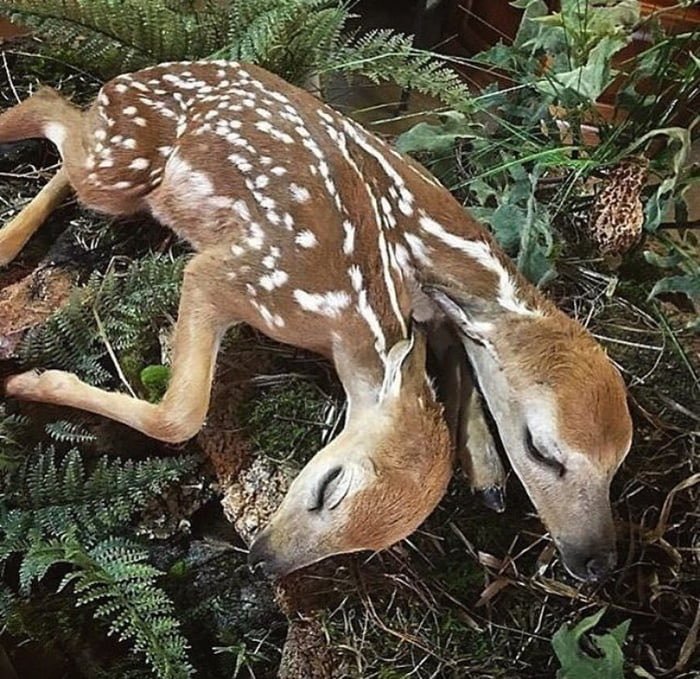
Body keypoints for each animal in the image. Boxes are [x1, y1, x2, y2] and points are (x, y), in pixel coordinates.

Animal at [0, 60, 633, 582]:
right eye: (542, 450)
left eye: (618, 463)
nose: (598, 563)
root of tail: (133, 78)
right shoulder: (232, 276)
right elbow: (182, 416)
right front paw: (30, 382)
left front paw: (486, 476)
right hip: (118, 166)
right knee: (49, 103)